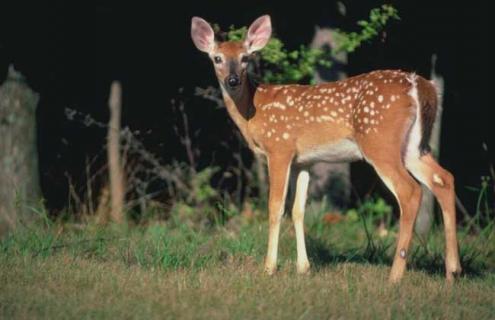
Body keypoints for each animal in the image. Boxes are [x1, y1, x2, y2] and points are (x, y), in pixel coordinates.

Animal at [192, 15, 464, 282]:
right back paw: (453, 271)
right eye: (217, 58)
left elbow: (275, 207)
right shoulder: (304, 161)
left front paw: (269, 268)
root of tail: (421, 86)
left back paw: (395, 275)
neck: (253, 111)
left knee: (410, 191)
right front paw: (303, 267)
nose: (233, 80)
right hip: (414, 146)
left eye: (245, 58)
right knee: (444, 178)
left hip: (380, 142)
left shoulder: (279, 148)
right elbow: (298, 210)